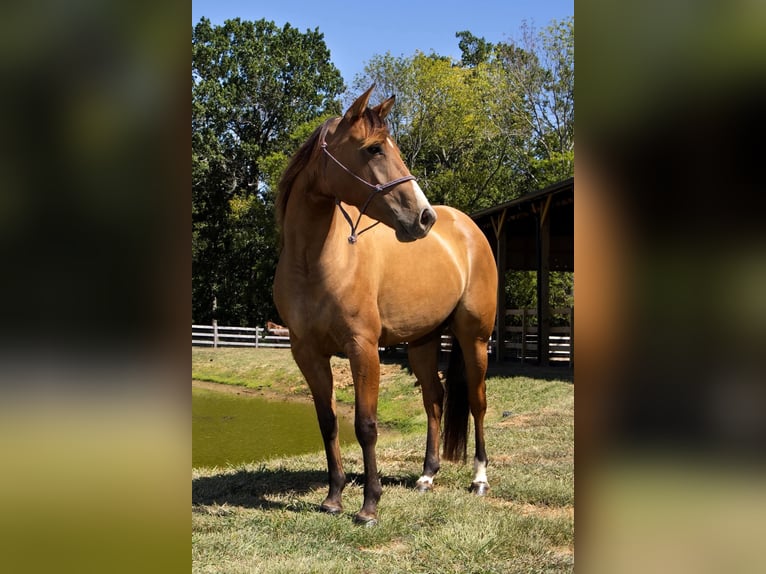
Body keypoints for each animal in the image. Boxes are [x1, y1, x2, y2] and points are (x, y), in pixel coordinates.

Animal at [273, 85, 497, 525]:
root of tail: (469, 228)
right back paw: (427, 475)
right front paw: (333, 498)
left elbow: (366, 424)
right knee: (434, 400)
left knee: (477, 403)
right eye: (375, 149)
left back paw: (479, 479)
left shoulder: (363, 349)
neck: (315, 261)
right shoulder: (306, 353)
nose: (423, 217)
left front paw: (369, 505)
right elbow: (328, 422)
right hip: (422, 343)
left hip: (474, 339)